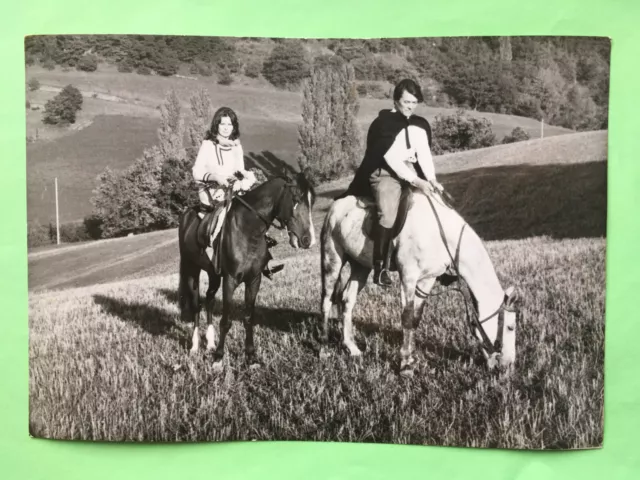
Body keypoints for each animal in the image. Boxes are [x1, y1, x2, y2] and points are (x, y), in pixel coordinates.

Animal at [176, 172, 316, 368]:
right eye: (295, 199)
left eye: (312, 202)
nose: (308, 240)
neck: (248, 230)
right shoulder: (230, 280)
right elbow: (226, 321)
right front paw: (219, 358)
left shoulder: (254, 280)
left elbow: (249, 318)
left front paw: (250, 356)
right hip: (191, 270)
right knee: (197, 305)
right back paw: (195, 346)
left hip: (213, 274)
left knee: (209, 299)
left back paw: (210, 343)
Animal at [320, 184, 520, 376]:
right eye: (510, 327)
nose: (509, 366)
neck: (439, 235)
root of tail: (336, 207)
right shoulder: (408, 276)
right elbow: (407, 317)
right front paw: (405, 365)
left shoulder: (427, 280)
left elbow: (416, 317)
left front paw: (412, 357)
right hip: (332, 260)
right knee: (326, 302)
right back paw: (323, 349)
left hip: (360, 267)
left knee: (347, 300)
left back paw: (351, 347)